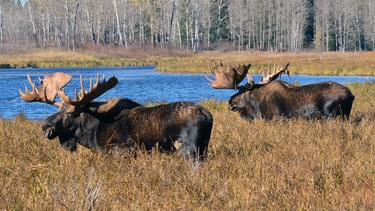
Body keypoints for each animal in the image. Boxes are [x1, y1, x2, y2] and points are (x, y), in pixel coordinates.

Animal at [20, 72, 213, 160]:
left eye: (70, 113)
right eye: (58, 110)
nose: (45, 126)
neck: (91, 132)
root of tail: (208, 116)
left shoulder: (121, 150)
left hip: (187, 150)